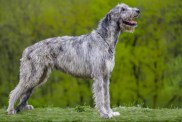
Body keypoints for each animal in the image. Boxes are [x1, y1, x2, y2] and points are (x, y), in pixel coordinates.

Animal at [6, 3, 139, 118]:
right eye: (123, 9)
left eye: (126, 6)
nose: (138, 10)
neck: (104, 40)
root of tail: (27, 49)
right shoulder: (98, 75)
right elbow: (100, 96)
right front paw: (104, 114)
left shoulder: (106, 76)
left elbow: (107, 96)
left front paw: (110, 112)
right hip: (33, 74)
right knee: (16, 91)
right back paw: (11, 110)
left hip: (40, 76)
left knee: (25, 91)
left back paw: (23, 107)